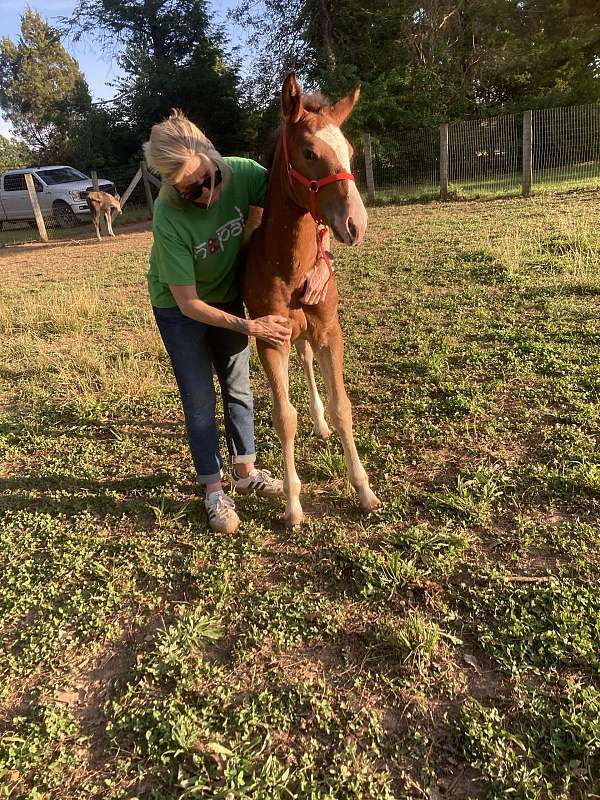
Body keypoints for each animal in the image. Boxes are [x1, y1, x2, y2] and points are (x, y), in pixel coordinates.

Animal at [244, 73, 381, 527]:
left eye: (350, 151)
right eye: (309, 152)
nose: (356, 224)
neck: (289, 266)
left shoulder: (330, 331)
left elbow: (343, 408)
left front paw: (365, 491)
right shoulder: (270, 339)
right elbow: (284, 416)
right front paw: (292, 505)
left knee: (306, 360)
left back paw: (319, 423)